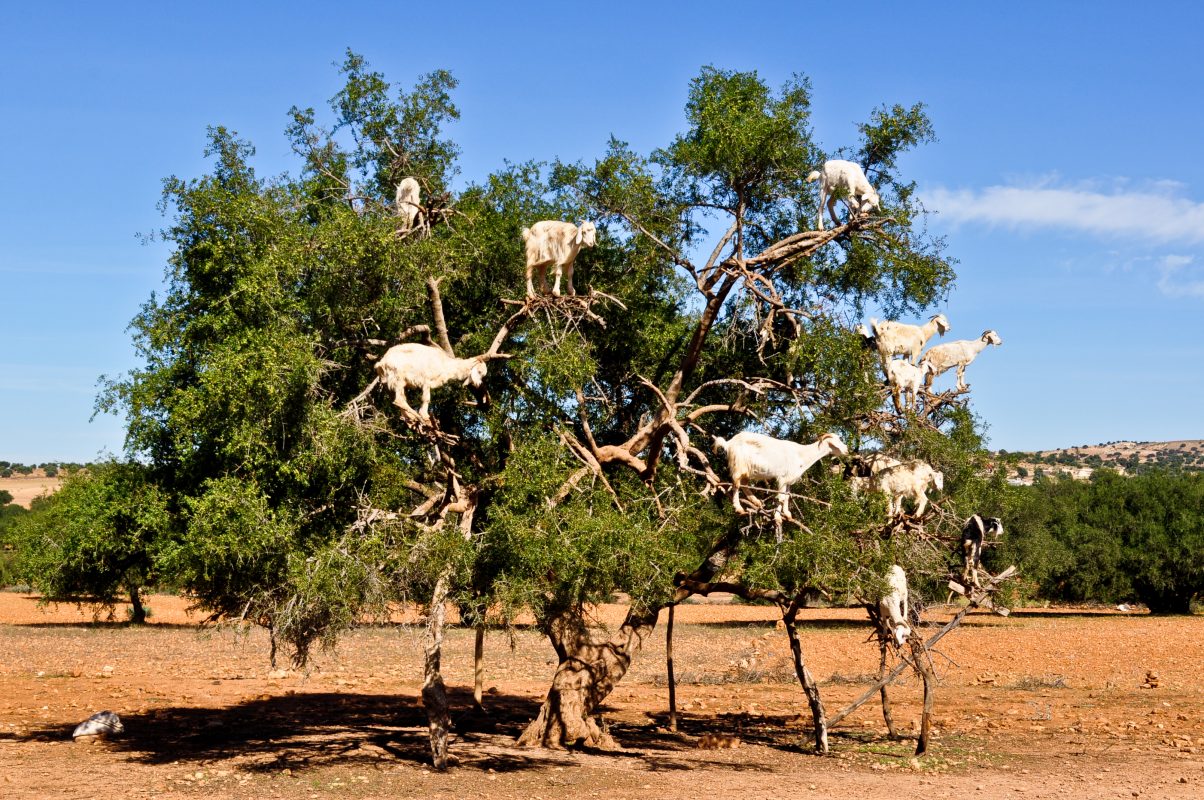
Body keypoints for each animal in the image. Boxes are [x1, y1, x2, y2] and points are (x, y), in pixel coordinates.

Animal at [707, 431, 852, 518]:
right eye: (837, 441)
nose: (846, 450)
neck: (801, 454)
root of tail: (729, 443)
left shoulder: (788, 480)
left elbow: (786, 496)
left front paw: (787, 514)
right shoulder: (782, 479)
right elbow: (780, 498)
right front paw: (778, 518)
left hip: (746, 470)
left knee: (744, 484)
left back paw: (756, 502)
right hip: (739, 465)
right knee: (736, 485)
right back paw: (739, 508)